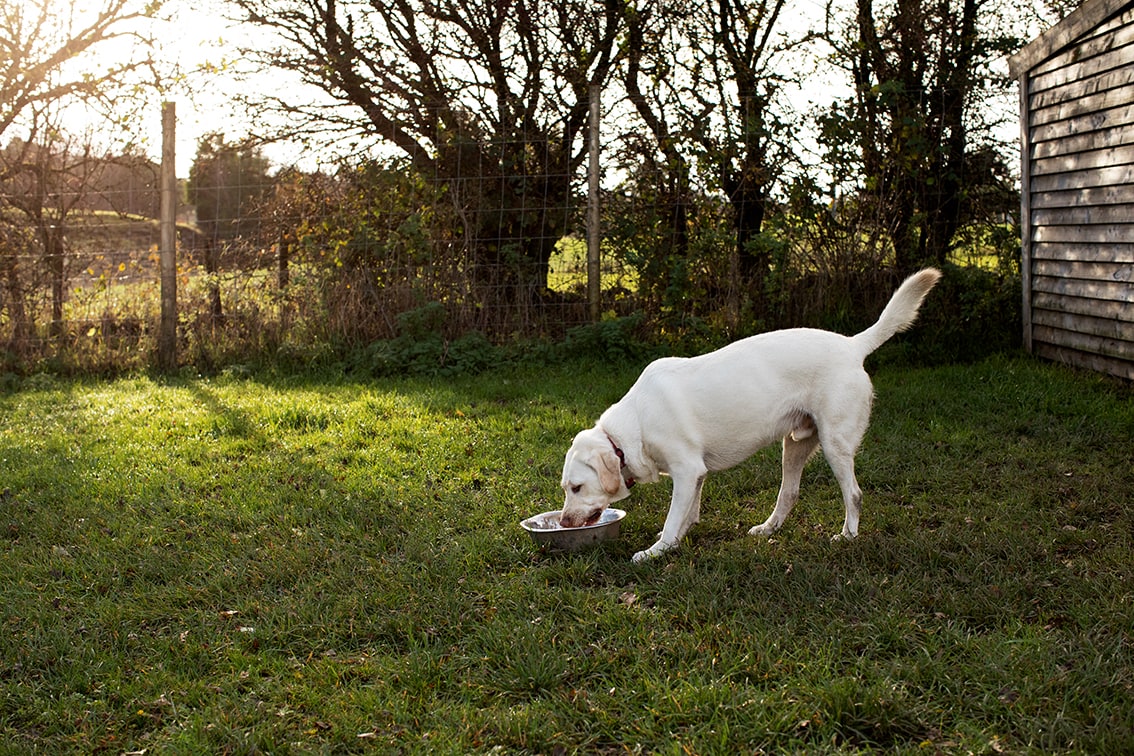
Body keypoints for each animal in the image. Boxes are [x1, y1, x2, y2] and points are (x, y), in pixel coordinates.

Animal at [555, 270, 938, 562]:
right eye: (565, 489)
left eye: (577, 487)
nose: (564, 521)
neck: (632, 427)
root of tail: (852, 345)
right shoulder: (696, 475)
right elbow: (689, 513)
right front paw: (678, 540)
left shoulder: (687, 471)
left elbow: (672, 519)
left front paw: (656, 551)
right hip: (794, 445)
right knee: (789, 494)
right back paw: (768, 528)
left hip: (835, 445)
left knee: (854, 494)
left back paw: (847, 536)